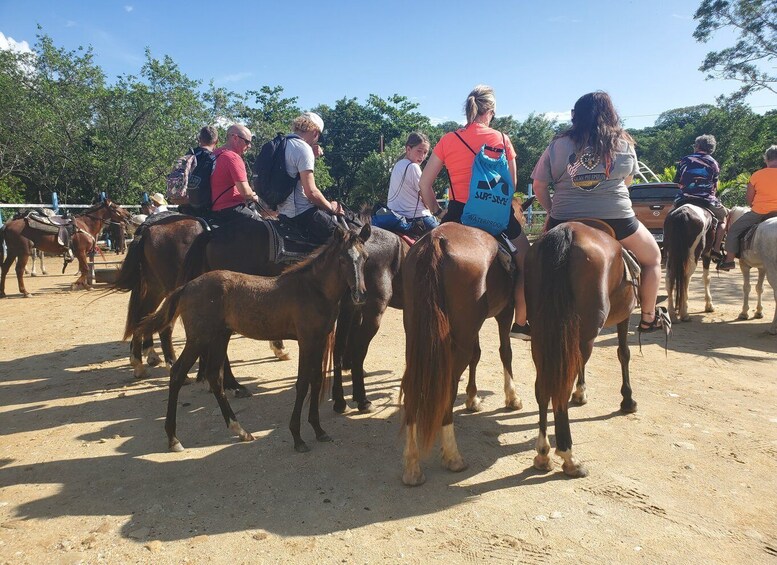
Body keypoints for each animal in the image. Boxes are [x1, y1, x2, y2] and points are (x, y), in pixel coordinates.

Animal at [1, 199, 130, 298]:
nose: (128, 214)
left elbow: (83, 269)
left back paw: (3, 292)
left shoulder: (81, 253)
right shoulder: (80, 251)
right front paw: (75, 285)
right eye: (115, 207)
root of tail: (7, 224)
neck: (85, 224)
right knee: (19, 270)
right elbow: (85, 269)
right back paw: (25, 292)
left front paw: (86, 286)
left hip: (12, 251)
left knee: (5, 268)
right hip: (23, 252)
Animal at [138, 223, 372, 452]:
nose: (359, 295)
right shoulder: (307, 341)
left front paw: (319, 430)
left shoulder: (320, 340)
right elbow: (302, 383)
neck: (313, 288)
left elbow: (316, 380)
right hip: (198, 338)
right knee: (178, 374)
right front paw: (297, 437)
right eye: (342, 259)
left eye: (366, 257)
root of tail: (186, 287)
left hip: (219, 337)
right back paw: (173, 439)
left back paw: (240, 430)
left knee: (215, 376)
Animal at [400, 223, 520, 486]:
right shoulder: (505, 312)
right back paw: (452, 456)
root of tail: (437, 240)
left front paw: (473, 398)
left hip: (416, 335)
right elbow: (504, 352)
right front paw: (512, 397)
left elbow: (478, 355)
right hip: (462, 336)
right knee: (448, 385)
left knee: (412, 386)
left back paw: (412, 466)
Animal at [524, 223, 640, 478]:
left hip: (544, 335)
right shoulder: (623, 317)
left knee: (543, 387)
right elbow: (623, 353)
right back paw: (569, 456)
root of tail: (568, 232)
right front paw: (628, 400)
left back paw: (543, 453)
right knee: (560, 389)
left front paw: (581, 392)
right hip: (583, 333)